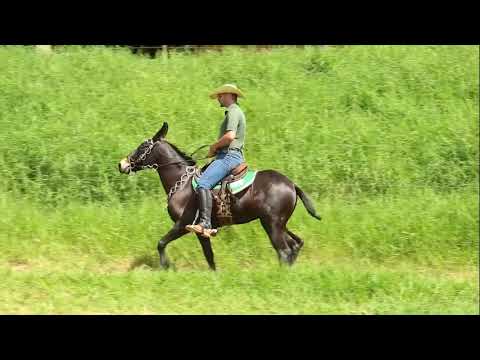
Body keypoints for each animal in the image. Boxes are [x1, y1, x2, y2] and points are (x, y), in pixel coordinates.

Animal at [119, 123, 322, 270]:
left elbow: (161, 243)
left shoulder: (184, 224)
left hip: (272, 224)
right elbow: (209, 256)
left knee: (284, 250)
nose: (122, 164)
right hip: (278, 223)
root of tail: (292, 185)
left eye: (143, 146)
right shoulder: (200, 232)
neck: (182, 183)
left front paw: (165, 266)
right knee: (295, 244)